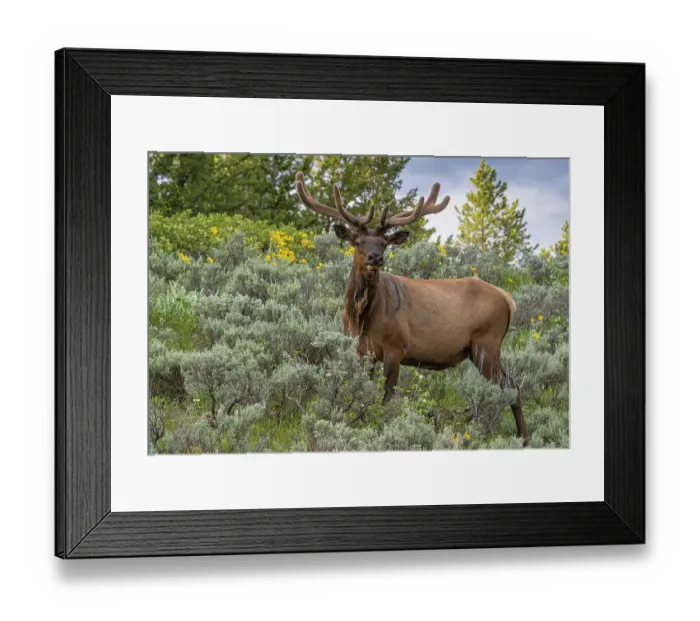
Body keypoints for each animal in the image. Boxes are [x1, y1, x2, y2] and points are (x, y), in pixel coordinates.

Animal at [294, 172, 531, 445]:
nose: (375, 258)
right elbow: (364, 394)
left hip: (487, 342)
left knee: (510, 387)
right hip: (481, 349)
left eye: (384, 243)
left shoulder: (396, 346)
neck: (362, 318)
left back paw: (520, 437)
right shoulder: (361, 350)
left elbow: (387, 398)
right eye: (358, 242)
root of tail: (508, 300)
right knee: (510, 386)